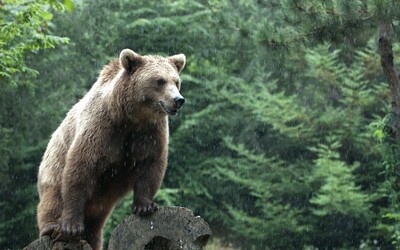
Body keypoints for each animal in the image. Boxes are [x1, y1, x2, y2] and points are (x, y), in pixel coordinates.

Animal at [36, 48, 186, 250]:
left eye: (176, 81)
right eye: (160, 80)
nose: (178, 100)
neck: (131, 117)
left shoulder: (150, 133)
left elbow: (151, 164)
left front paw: (145, 206)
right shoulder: (102, 128)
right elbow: (80, 167)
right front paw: (72, 226)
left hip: (102, 200)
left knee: (94, 225)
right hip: (52, 167)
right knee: (53, 196)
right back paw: (52, 227)